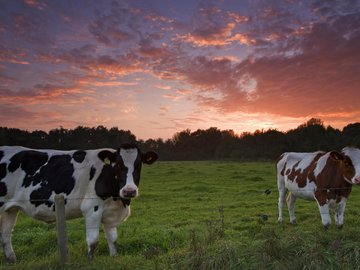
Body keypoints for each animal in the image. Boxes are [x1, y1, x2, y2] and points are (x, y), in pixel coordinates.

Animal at [0, 143, 158, 262]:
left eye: (139, 165)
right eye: (118, 164)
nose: (129, 191)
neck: (118, 199)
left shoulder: (111, 212)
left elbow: (113, 239)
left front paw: (114, 257)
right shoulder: (92, 208)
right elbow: (93, 241)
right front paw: (90, 261)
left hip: (10, 209)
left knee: (6, 235)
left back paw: (12, 260)